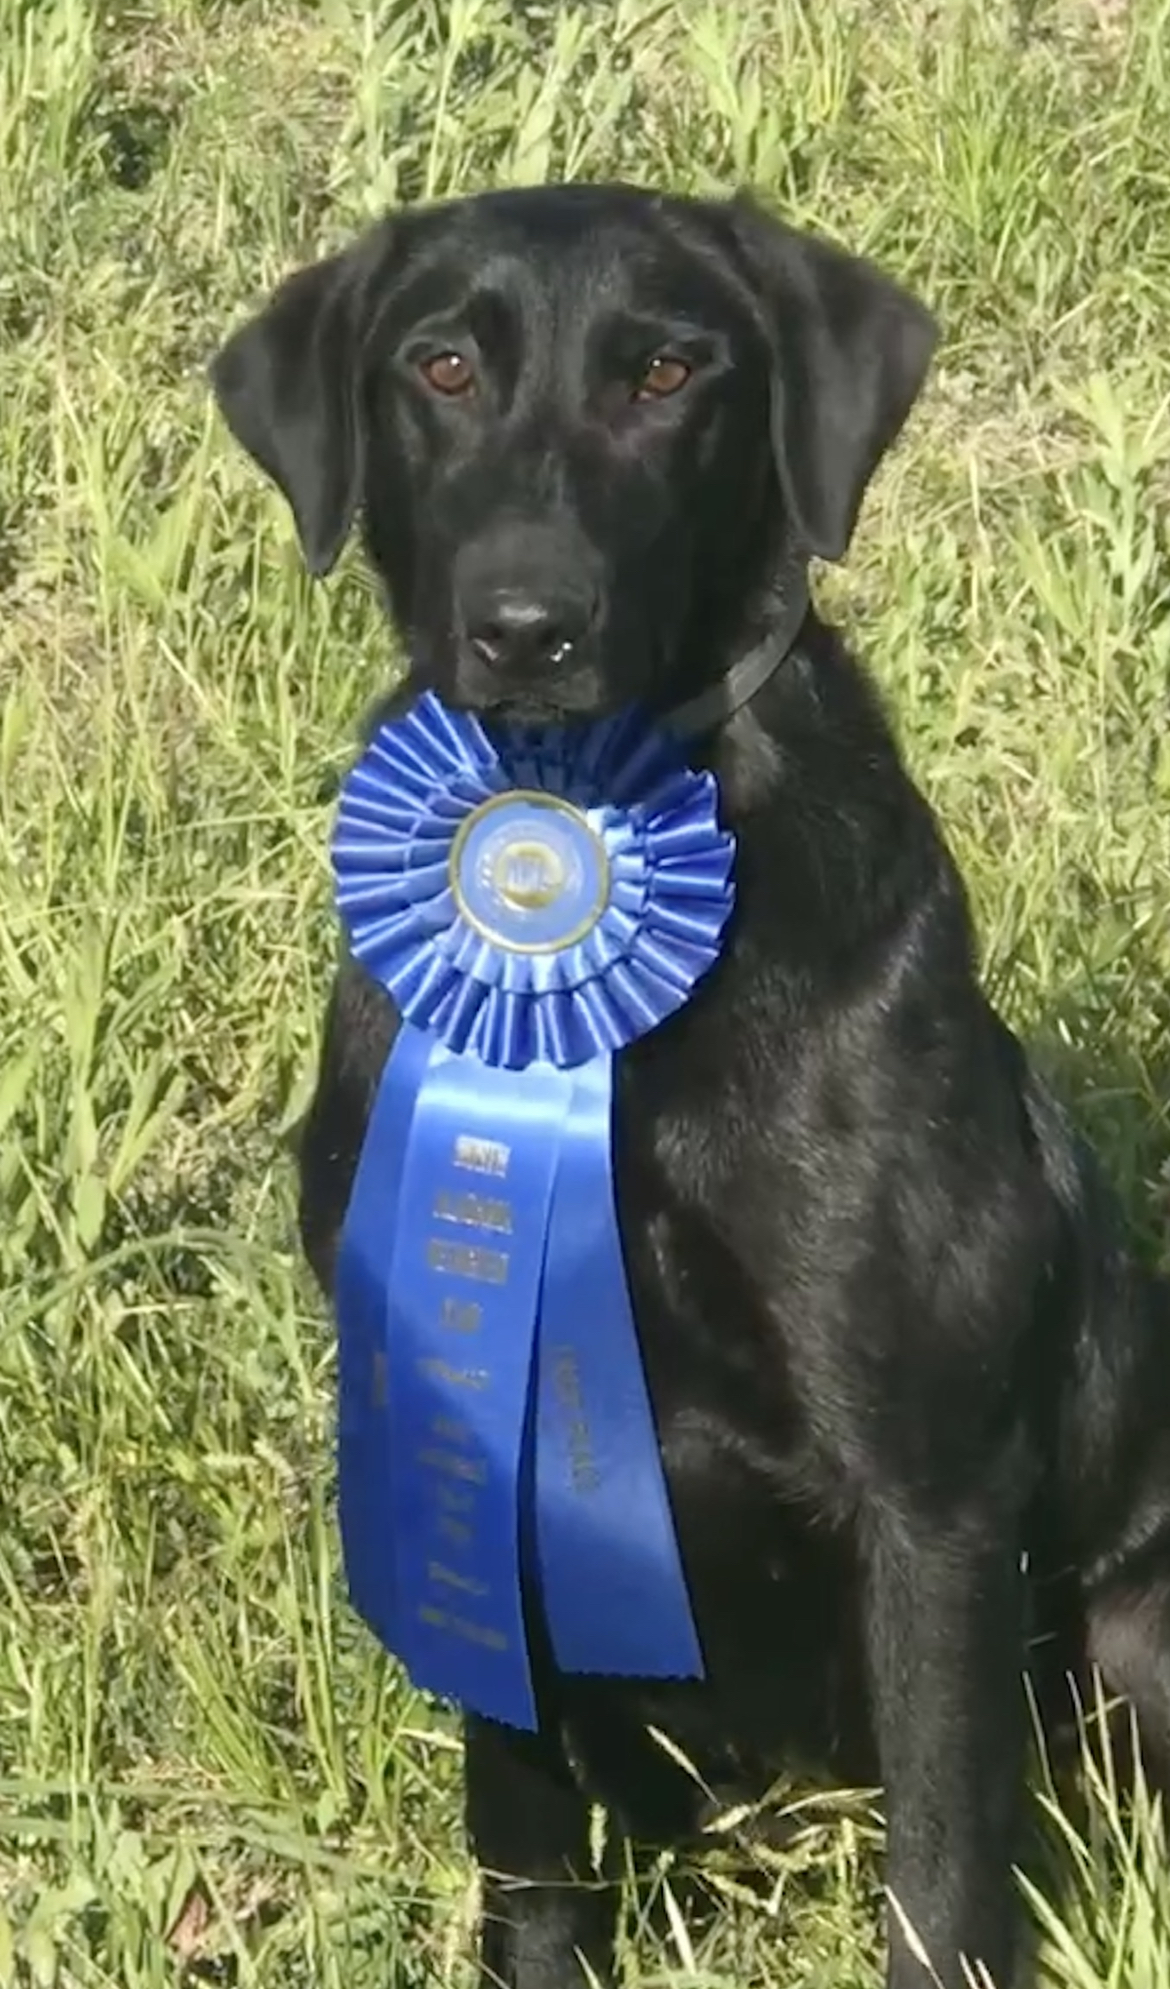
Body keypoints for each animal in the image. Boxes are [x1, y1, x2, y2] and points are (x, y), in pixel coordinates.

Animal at [209, 186, 1170, 1989]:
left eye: (666, 372)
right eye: (439, 365)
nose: (528, 626)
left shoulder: (931, 1489)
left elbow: (945, 1876)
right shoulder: (457, 1437)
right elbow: (521, 1835)